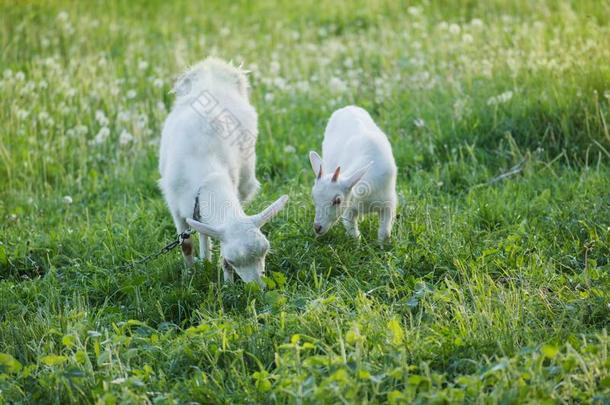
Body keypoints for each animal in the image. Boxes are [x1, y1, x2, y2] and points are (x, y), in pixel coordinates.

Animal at [159, 56, 288, 286]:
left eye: (265, 252)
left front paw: (227, 284)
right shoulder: (175, 205)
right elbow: (186, 244)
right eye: (234, 259)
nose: (259, 288)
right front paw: (190, 275)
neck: (207, 176)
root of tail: (211, 65)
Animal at [306, 105, 396, 243]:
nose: (317, 227)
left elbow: (384, 232)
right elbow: (352, 230)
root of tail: (346, 107)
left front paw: (382, 245)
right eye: (313, 197)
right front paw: (358, 244)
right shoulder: (349, 207)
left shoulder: (388, 202)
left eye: (337, 200)